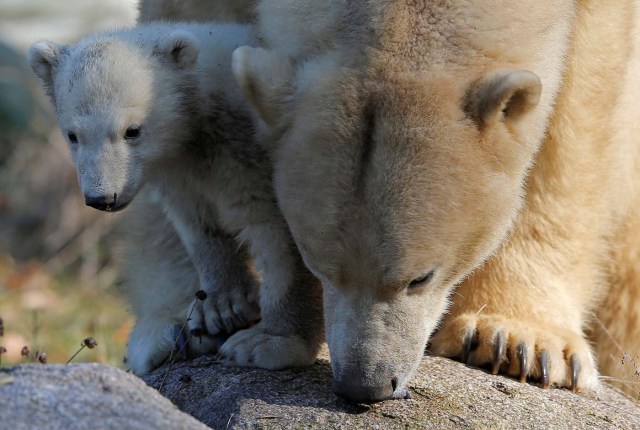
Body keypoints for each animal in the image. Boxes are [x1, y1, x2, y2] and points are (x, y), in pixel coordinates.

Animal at [234, 1, 640, 402]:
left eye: (420, 278)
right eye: (318, 266)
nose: (364, 384)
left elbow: (577, 104)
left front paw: (519, 341)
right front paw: (273, 336)